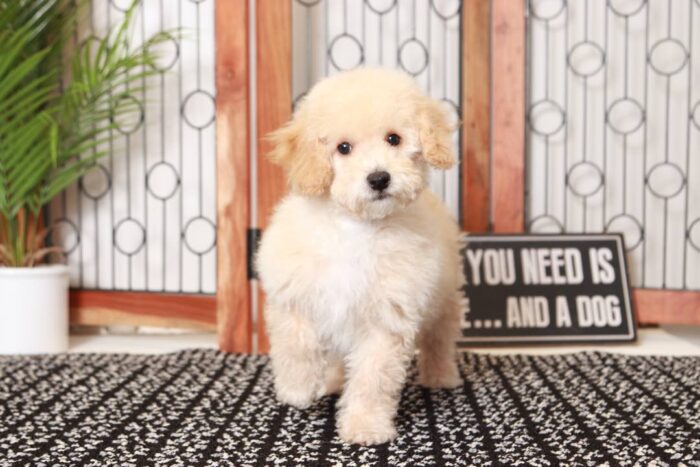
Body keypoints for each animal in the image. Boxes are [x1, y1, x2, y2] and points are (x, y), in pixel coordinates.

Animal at [258, 66, 464, 446]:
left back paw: (441, 375)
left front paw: (366, 425)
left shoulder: (386, 317)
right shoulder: (292, 291)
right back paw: (330, 381)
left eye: (394, 139)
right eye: (343, 148)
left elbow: (373, 377)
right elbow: (296, 341)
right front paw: (297, 388)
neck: (356, 228)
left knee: (440, 337)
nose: (379, 178)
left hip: (444, 297)